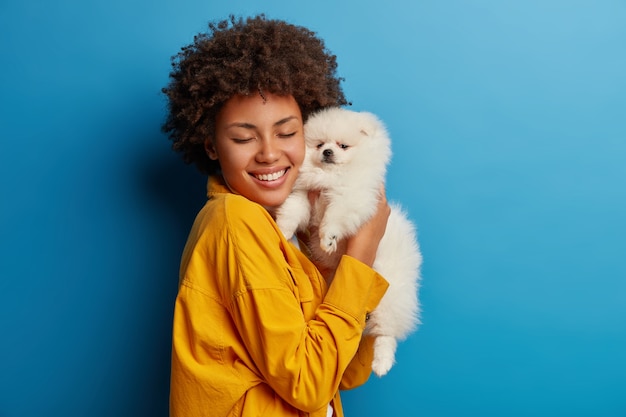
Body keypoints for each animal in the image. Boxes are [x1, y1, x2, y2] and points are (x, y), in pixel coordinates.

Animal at [276, 105, 422, 376]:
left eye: (343, 146)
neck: (330, 177)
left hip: (391, 294)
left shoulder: (352, 196)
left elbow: (334, 216)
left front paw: (328, 238)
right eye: (319, 144)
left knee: (387, 334)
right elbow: (293, 210)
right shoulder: (304, 194)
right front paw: (283, 227)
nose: (327, 152)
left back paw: (382, 363)